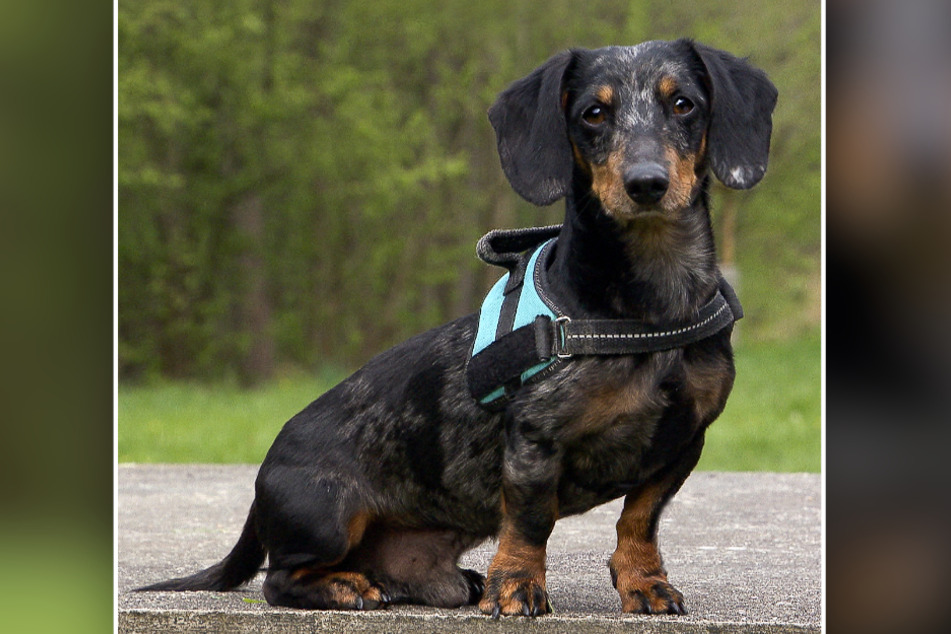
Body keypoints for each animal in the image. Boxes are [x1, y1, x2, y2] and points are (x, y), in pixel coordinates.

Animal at [143, 37, 780, 616]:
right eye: (593, 114)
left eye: (684, 104)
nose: (646, 183)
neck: (647, 305)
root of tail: (259, 486)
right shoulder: (534, 439)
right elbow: (529, 522)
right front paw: (517, 587)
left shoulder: (683, 442)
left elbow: (639, 520)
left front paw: (643, 583)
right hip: (326, 514)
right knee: (279, 579)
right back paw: (347, 587)